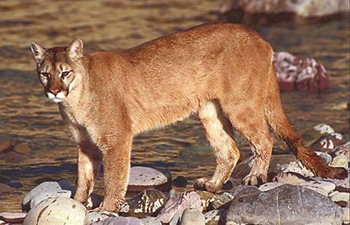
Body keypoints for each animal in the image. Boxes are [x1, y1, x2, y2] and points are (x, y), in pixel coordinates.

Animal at [30, 22, 348, 211]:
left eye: (65, 73)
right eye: (45, 74)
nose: (54, 91)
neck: (76, 99)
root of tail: (260, 37)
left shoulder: (116, 139)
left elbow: (114, 177)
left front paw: (106, 209)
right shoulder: (84, 143)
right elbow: (83, 176)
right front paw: (77, 203)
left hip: (240, 105)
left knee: (264, 138)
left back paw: (255, 177)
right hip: (210, 111)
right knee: (230, 149)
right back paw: (213, 185)